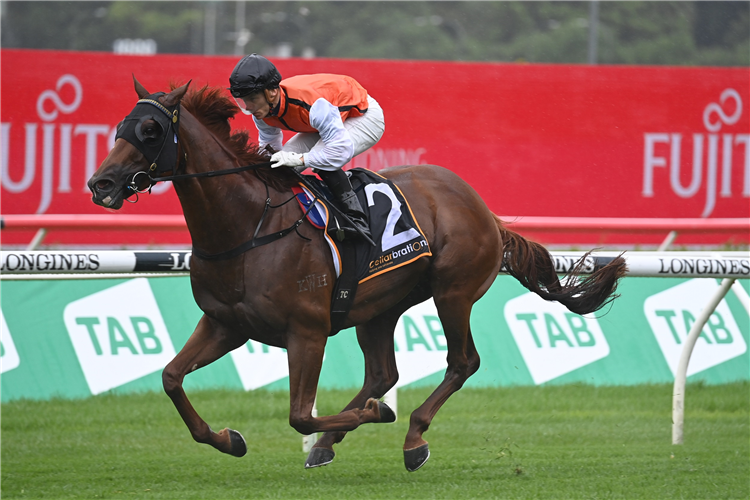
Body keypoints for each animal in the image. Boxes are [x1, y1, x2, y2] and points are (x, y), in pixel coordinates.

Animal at [88, 78, 627, 472]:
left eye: (151, 131)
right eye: (120, 127)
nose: (101, 183)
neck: (247, 226)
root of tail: (483, 209)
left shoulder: (306, 332)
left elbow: (299, 415)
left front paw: (374, 415)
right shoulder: (225, 324)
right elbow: (171, 378)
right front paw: (228, 439)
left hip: (453, 292)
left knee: (462, 362)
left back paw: (410, 436)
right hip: (379, 308)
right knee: (383, 372)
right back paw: (335, 441)